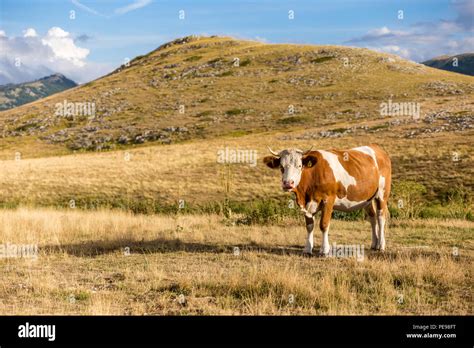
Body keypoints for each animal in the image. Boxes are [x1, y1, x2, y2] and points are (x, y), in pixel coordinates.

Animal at [262, 144, 392, 256]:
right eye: (281, 167)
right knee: (373, 218)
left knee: (381, 217)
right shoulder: (307, 204)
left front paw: (324, 250)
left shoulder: (328, 200)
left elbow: (323, 224)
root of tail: (377, 148)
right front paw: (307, 249)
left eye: (299, 166)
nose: (288, 183)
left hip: (382, 193)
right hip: (367, 198)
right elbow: (309, 226)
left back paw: (381, 245)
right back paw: (374, 244)